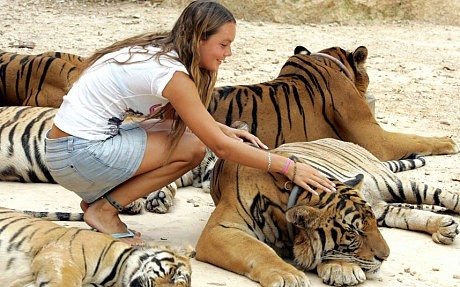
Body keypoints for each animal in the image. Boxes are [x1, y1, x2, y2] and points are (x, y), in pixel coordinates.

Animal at [195, 138, 460, 286]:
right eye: (353, 233)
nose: (385, 257)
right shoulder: (220, 229)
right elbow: (258, 250)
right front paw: (289, 277)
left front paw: (342, 270)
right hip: (381, 206)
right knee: (405, 213)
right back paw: (443, 228)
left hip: (392, 183)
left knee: (442, 194)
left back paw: (448, 223)